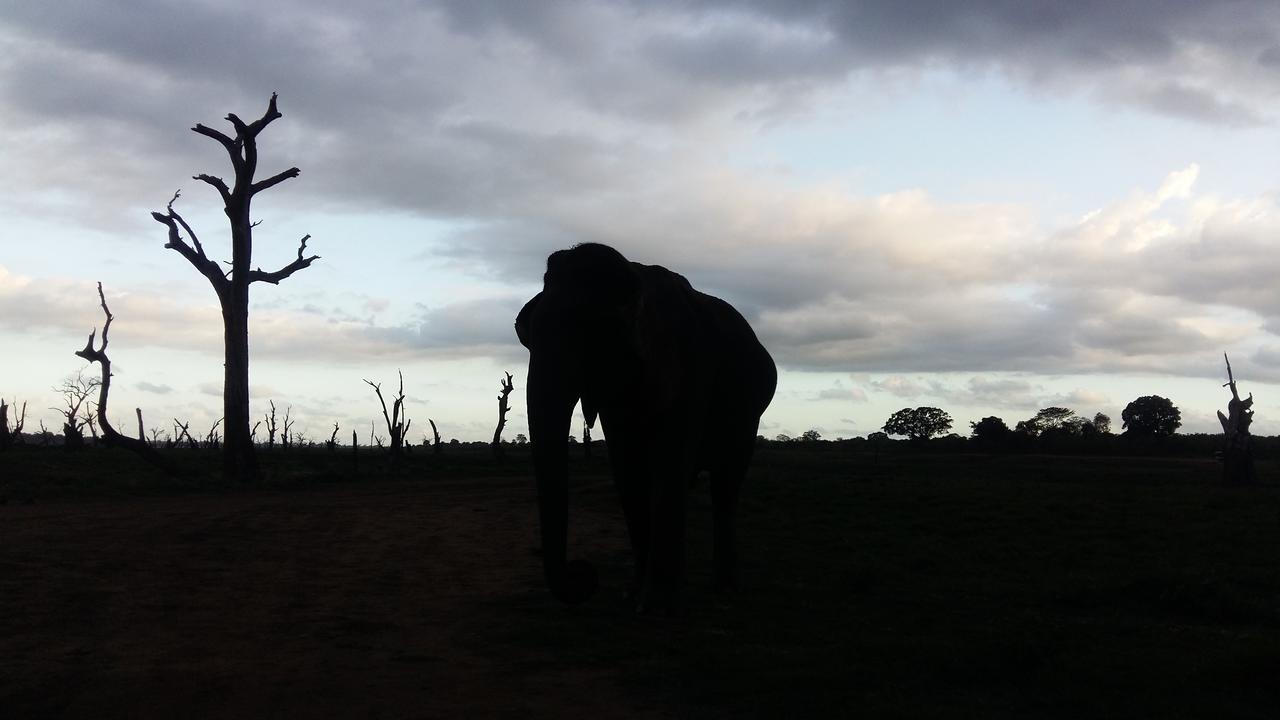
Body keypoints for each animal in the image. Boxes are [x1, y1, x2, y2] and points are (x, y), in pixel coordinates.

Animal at [512, 243, 773, 607]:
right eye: (526, 337)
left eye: (594, 335)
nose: (585, 574)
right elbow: (627, 467)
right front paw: (635, 593)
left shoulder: (690, 364)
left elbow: (671, 457)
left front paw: (655, 604)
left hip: (748, 416)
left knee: (725, 486)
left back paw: (724, 589)